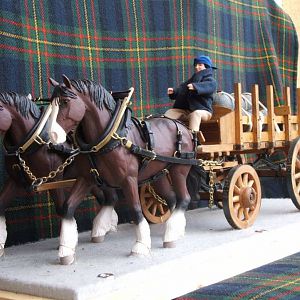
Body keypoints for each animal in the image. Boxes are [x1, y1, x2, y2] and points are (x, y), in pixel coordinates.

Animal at [0, 91, 118, 262]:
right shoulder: (15, 180)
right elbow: (1, 204)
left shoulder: (55, 179)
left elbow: (61, 207)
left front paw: (66, 246)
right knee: (106, 198)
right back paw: (106, 227)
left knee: (110, 197)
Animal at [48, 75, 199, 260]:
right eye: (51, 103)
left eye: (65, 102)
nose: (52, 135)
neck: (108, 137)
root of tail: (185, 128)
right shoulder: (87, 178)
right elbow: (68, 206)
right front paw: (66, 249)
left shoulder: (129, 179)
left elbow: (135, 209)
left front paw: (140, 246)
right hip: (160, 173)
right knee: (172, 199)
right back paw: (176, 230)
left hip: (179, 170)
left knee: (184, 198)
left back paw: (171, 235)